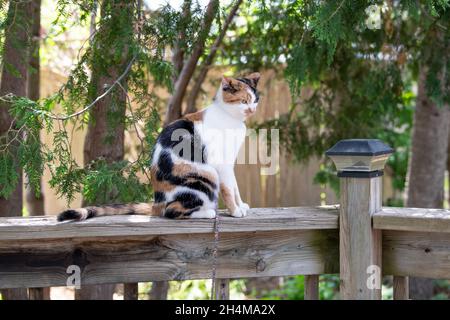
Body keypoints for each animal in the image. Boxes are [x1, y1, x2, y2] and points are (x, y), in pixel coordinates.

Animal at [57, 72, 260, 221]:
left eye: (255, 100)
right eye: (244, 101)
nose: (252, 110)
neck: (231, 119)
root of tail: (157, 203)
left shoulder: (230, 163)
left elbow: (235, 187)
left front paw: (241, 205)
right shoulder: (220, 162)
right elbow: (228, 189)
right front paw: (235, 211)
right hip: (207, 174)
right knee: (172, 211)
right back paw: (208, 213)